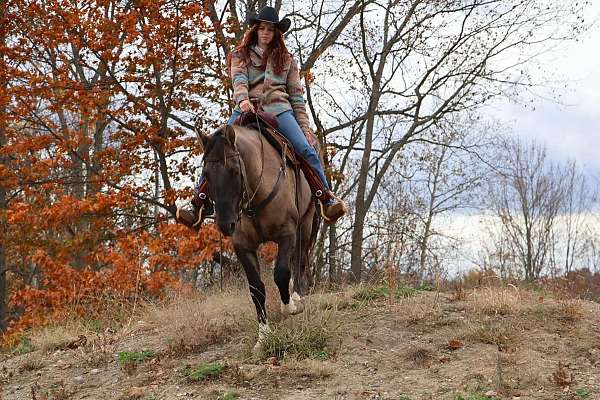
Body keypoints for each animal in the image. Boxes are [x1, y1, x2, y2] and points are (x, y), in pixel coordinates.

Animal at [198, 123, 322, 352]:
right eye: (206, 174)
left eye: (235, 170)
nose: (225, 224)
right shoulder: (243, 246)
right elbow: (256, 289)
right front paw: (263, 337)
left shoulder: (287, 233)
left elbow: (281, 273)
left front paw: (289, 307)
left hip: (306, 223)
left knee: (300, 260)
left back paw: (296, 297)